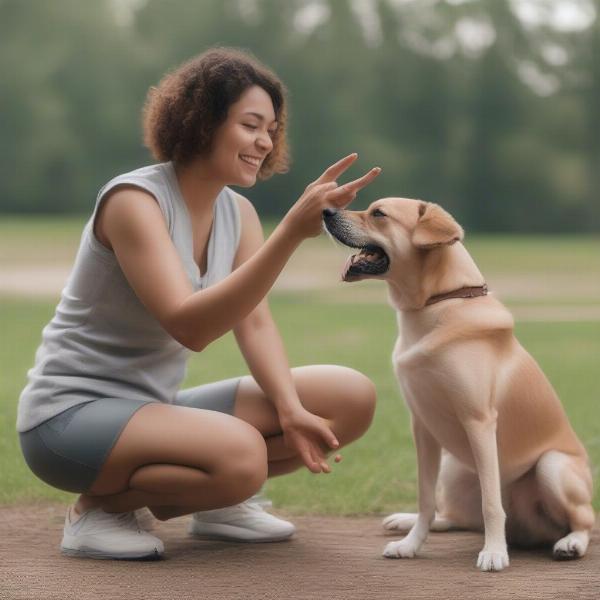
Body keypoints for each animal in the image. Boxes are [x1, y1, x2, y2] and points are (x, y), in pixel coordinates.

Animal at [324, 200, 592, 572]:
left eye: (378, 213)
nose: (325, 211)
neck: (439, 302)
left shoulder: (478, 421)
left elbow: (491, 503)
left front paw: (494, 552)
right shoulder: (422, 426)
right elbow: (425, 499)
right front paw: (410, 545)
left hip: (552, 466)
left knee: (583, 521)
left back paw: (569, 543)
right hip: (453, 468)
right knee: (454, 516)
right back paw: (405, 521)